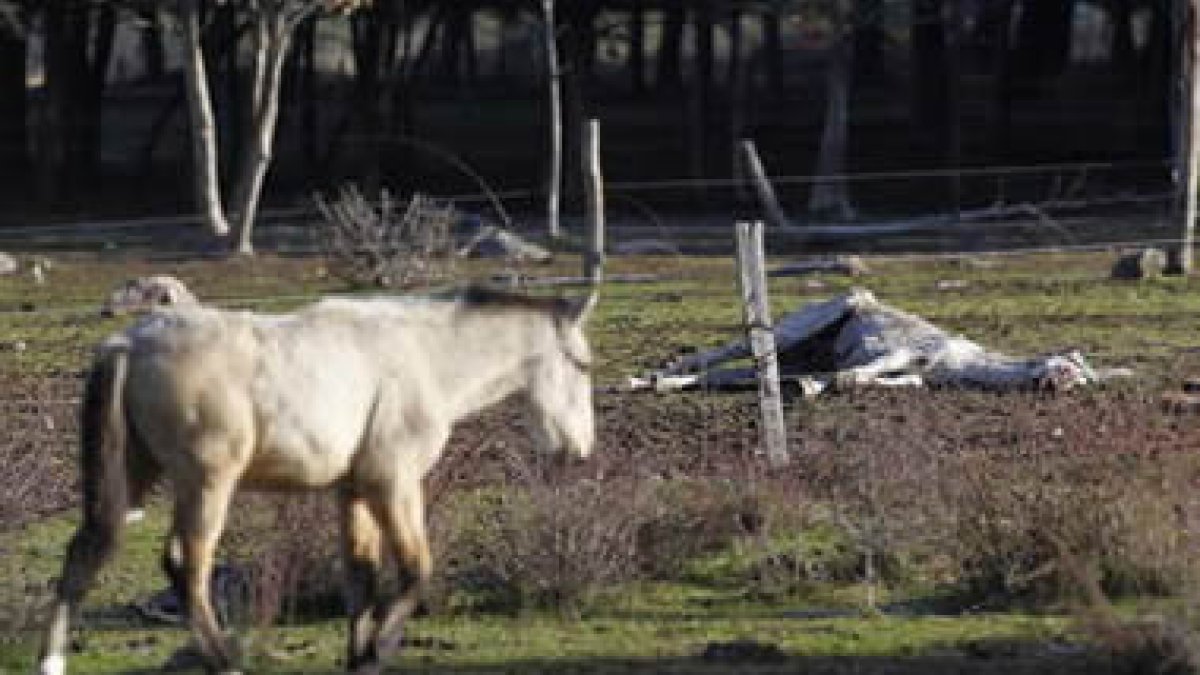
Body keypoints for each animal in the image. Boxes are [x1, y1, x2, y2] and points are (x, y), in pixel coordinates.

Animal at [38, 285, 597, 675]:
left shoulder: (353, 491)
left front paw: (359, 656)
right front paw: (376, 653)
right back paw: (227, 660)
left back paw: (52, 661)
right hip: (207, 483)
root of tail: (127, 343)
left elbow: (362, 577)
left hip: (134, 478)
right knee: (186, 566)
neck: (423, 354)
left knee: (82, 557)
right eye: (583, 366)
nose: (580, 450)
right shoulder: (393, 482)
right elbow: (416, 570)